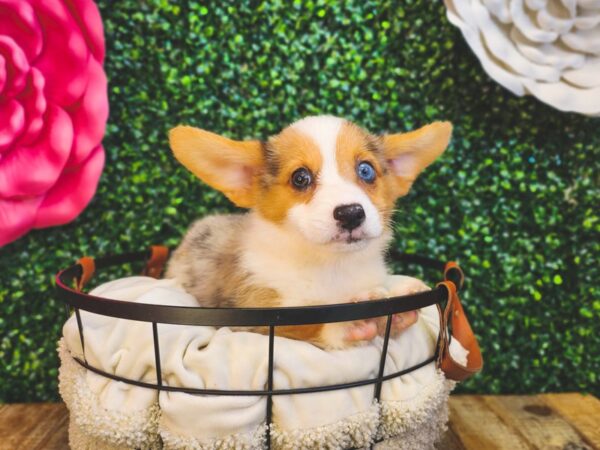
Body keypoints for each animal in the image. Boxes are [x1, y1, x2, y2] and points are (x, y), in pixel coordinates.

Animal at [164, 115, 450, 348]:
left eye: (366, 170)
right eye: (300, 178)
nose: (351, 213)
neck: (331, 266)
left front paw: (401, 291)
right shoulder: (253, 319)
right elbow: (306, 325)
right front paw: (349, 323)